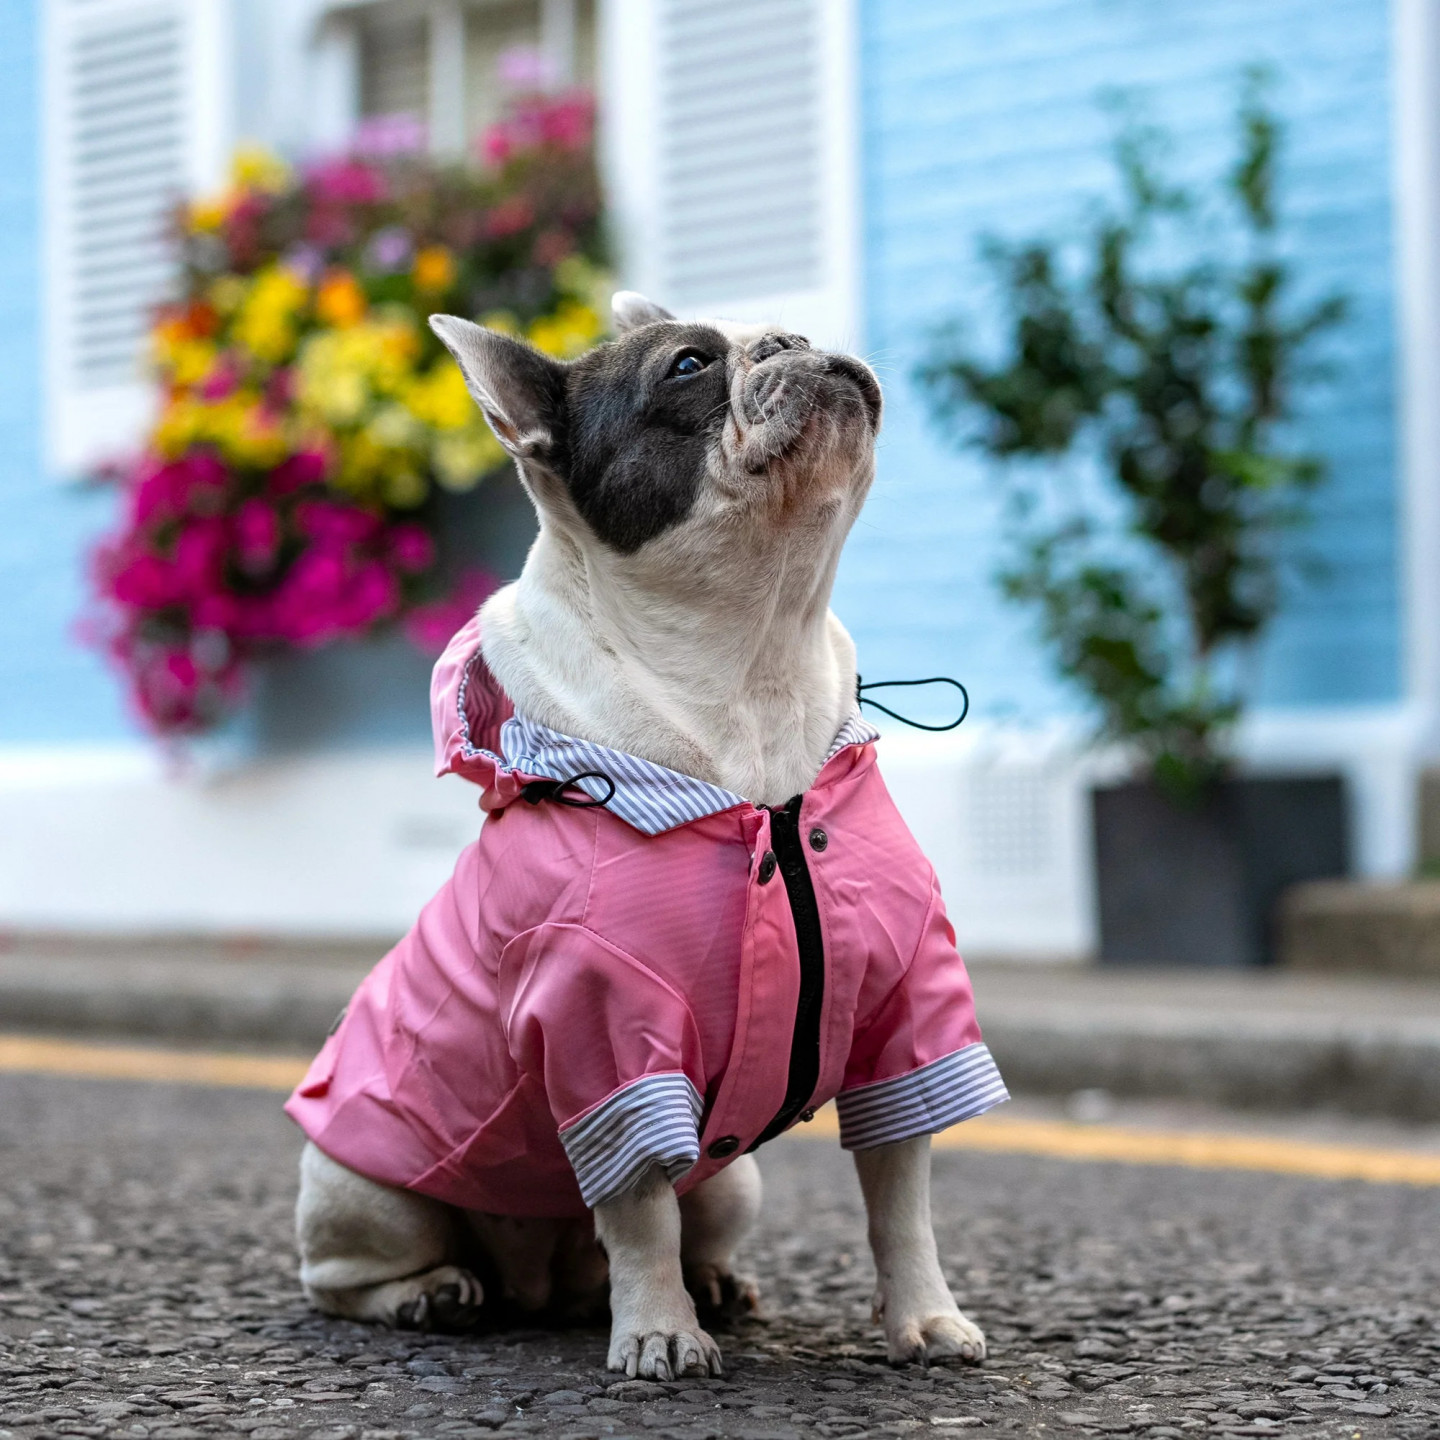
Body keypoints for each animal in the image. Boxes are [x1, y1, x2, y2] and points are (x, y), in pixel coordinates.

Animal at [286, 289, 1008, 1370]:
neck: (753, 674)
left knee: (680, 1226)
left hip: (734, 1179)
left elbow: (900, 1191)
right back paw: (435, 1295)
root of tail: (536, 1287)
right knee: (345, 1278)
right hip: (363, 1188)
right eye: (686, 367)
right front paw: (660, 1334)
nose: (792, 338)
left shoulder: (906, 1010)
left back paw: (709, 1284)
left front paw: (924, 1318)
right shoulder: (604, 1031)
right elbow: (636, 1205)